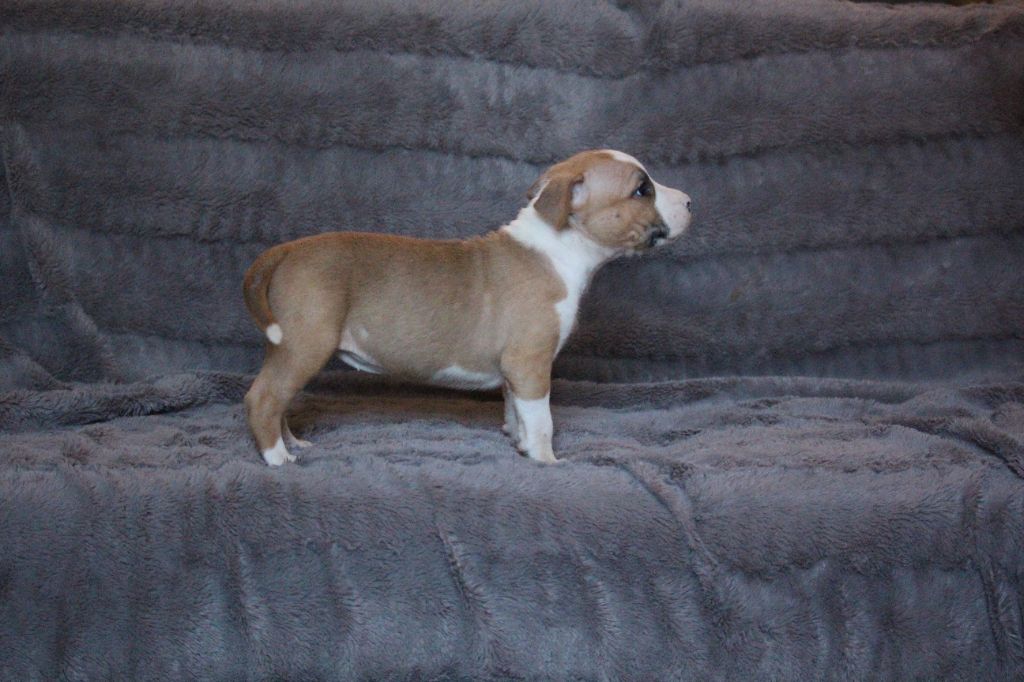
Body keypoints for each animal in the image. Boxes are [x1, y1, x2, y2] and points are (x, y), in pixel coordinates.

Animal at [243, 149, 692, 466]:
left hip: (285, 349)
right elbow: (541, 419)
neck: (558, 247)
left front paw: (518, 443)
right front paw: (547, 461)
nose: (690, 201)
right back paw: (278, 458)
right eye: (642, 189)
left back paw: (292, 442)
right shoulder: (530, 362)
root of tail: (286, 250)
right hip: (305, 344)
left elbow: (516, 411)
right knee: (263, 399)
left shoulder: (514, 369)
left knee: (278, 398)